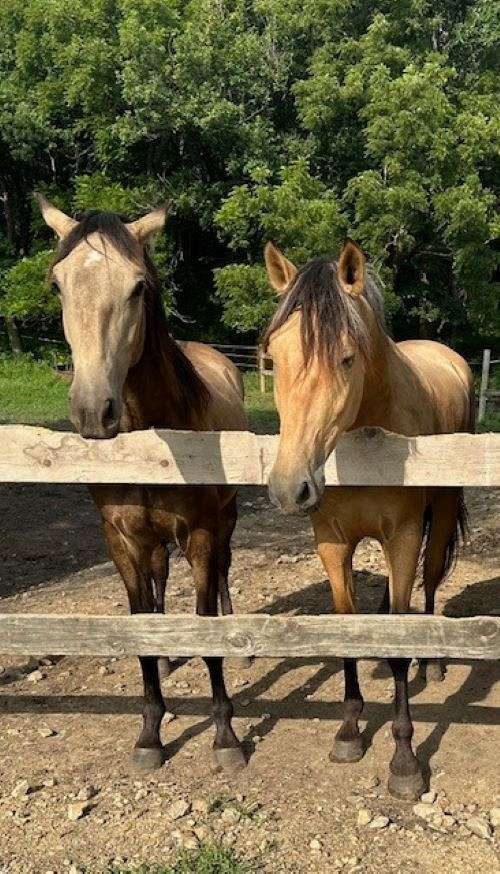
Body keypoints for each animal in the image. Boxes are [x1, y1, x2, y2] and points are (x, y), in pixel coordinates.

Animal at [36, 194, 247, 774]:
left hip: (226, 518)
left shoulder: (200, 534)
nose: (93, 411)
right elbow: (140, 624)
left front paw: (225, 735)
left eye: (137, 287)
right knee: (158, 586)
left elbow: (202, 618)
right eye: (58, 284)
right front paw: (150, 733)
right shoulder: (121, 540)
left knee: (222, 571)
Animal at [262, 238, 474, 800]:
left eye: (346, 357)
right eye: (275, 356)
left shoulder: (402, 537)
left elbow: (401, 641)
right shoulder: (332, 542)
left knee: (428, 583)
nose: (289, 488)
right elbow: (348, 630)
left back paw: (434, 663)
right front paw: (349, 732)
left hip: (440, 514)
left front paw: (404, 760)